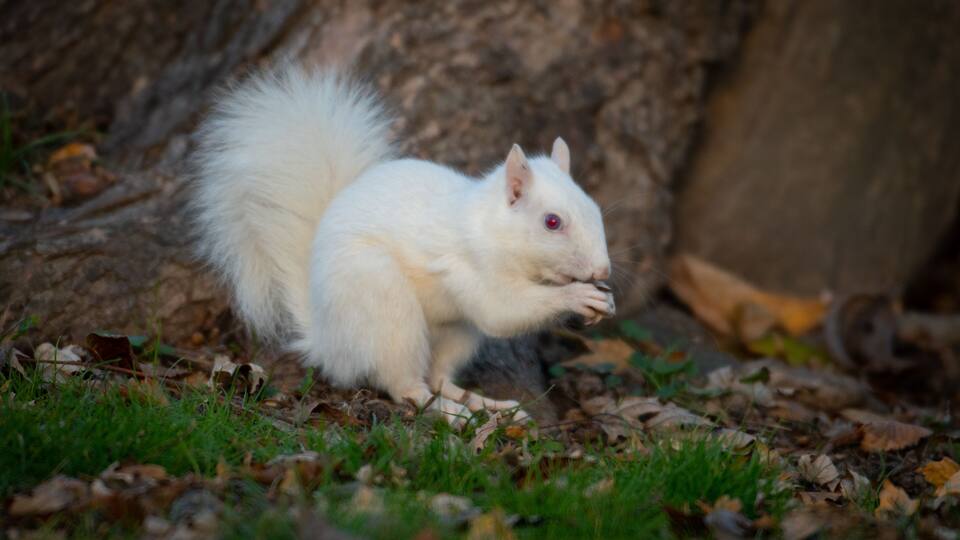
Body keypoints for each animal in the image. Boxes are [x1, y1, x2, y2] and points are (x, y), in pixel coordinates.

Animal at [191, 65, 614, 423]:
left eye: (595, 207)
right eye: (552, 222)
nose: (603, 269)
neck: (490, 228)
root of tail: (329, 342)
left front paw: (600, 301)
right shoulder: (469, 267)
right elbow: (502, 312)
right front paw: (578, 297)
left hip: (456, 333)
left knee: (440, 377)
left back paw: (486, 404)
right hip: (387, 310)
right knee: (408, 387)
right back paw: (452, 413)